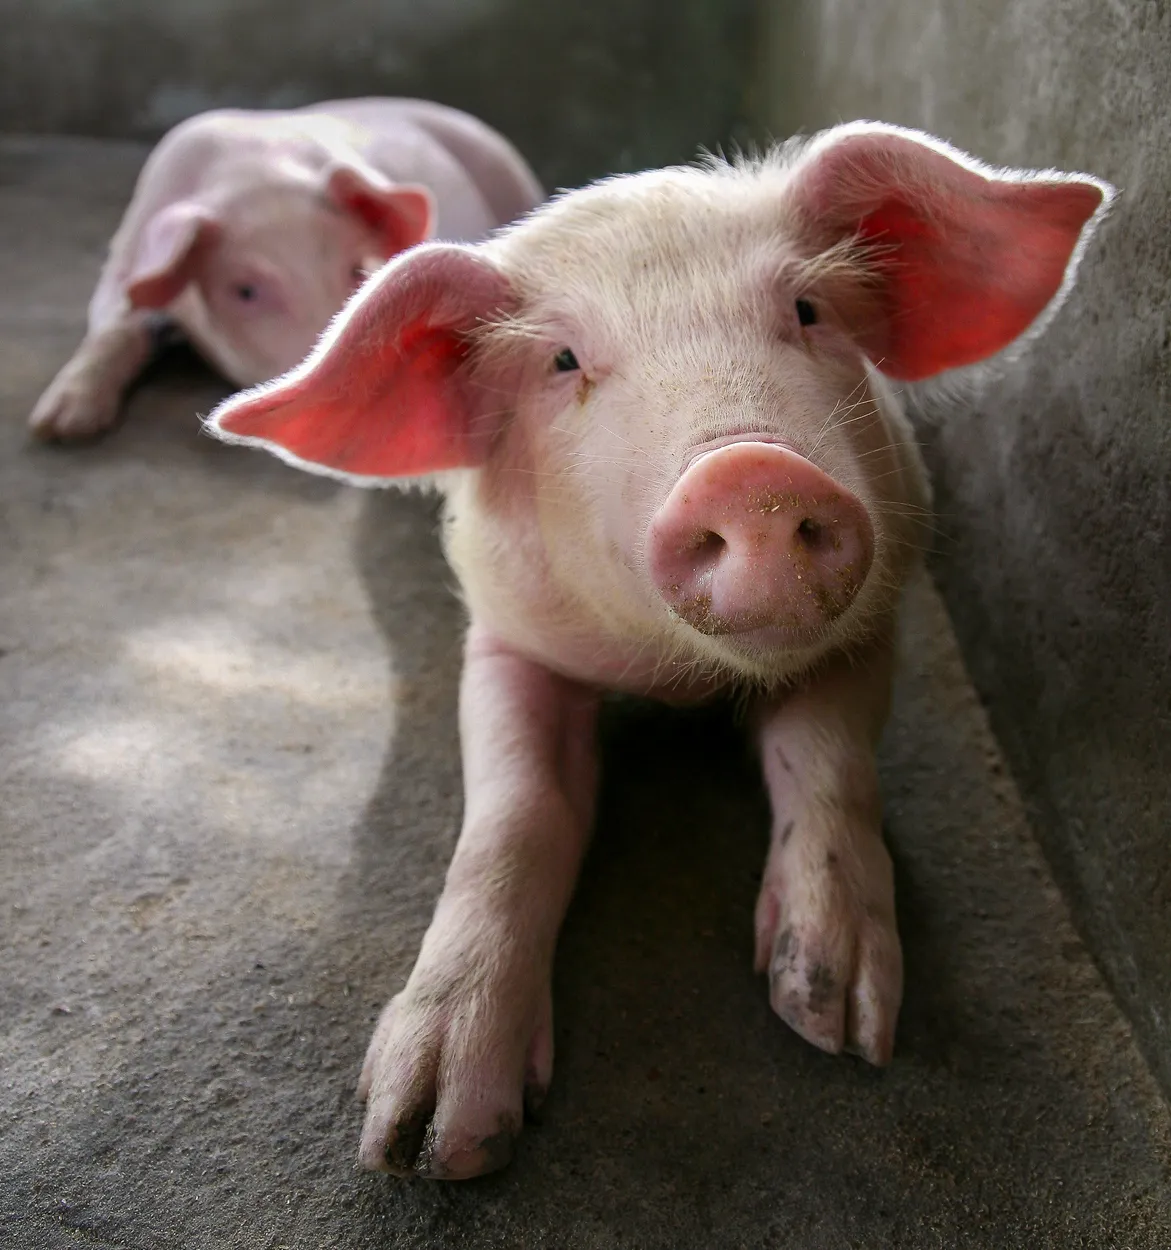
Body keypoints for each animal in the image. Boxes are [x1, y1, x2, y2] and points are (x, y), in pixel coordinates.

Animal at [28, 98, 543, 441]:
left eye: (359, 269)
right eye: (245, 291)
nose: (339, 389)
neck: (252, 179)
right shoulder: (125, 258)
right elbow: (117, 325)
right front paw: (60, 425)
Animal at [205, 122, 1114, 1180]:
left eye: (805, 309)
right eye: (562, 361)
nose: (751, 474)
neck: (677, 677)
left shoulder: (874, 616)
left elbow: (831, 762)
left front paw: (837, 1019)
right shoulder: (506, 640)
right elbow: (518, 813)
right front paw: (429, 1143)